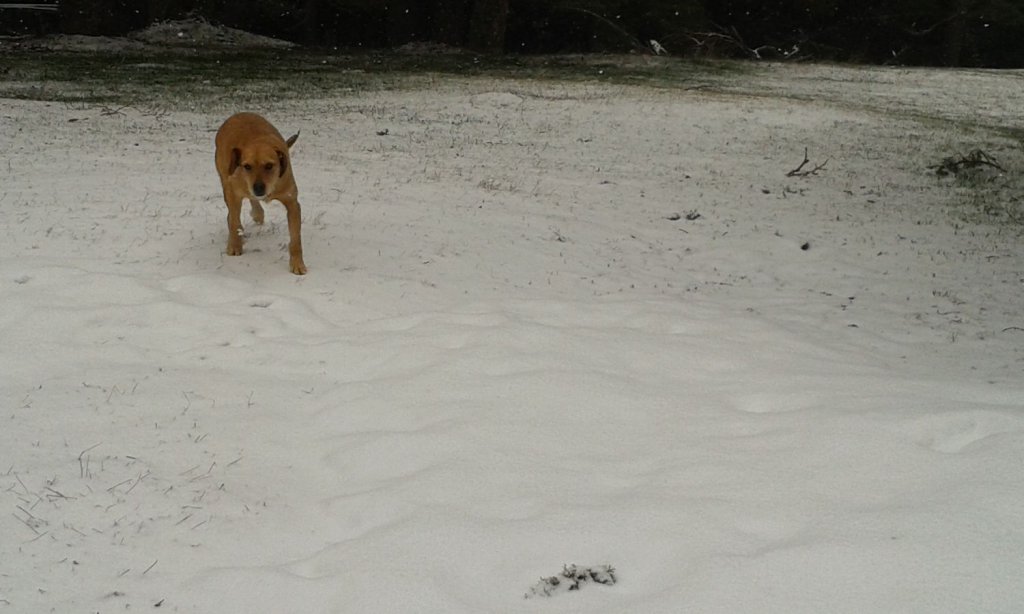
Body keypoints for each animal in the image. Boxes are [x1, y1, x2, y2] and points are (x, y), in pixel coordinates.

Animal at [216, 112, 307, 276]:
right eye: (247, 166)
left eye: (269, 165)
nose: (258, 188)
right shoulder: (234, 193)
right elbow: (234, 220)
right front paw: (235, 245)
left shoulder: (292, 202)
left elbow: (296, 239)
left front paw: (297, 264)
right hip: (225, 181)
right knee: (232, 213)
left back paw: (258, 213)